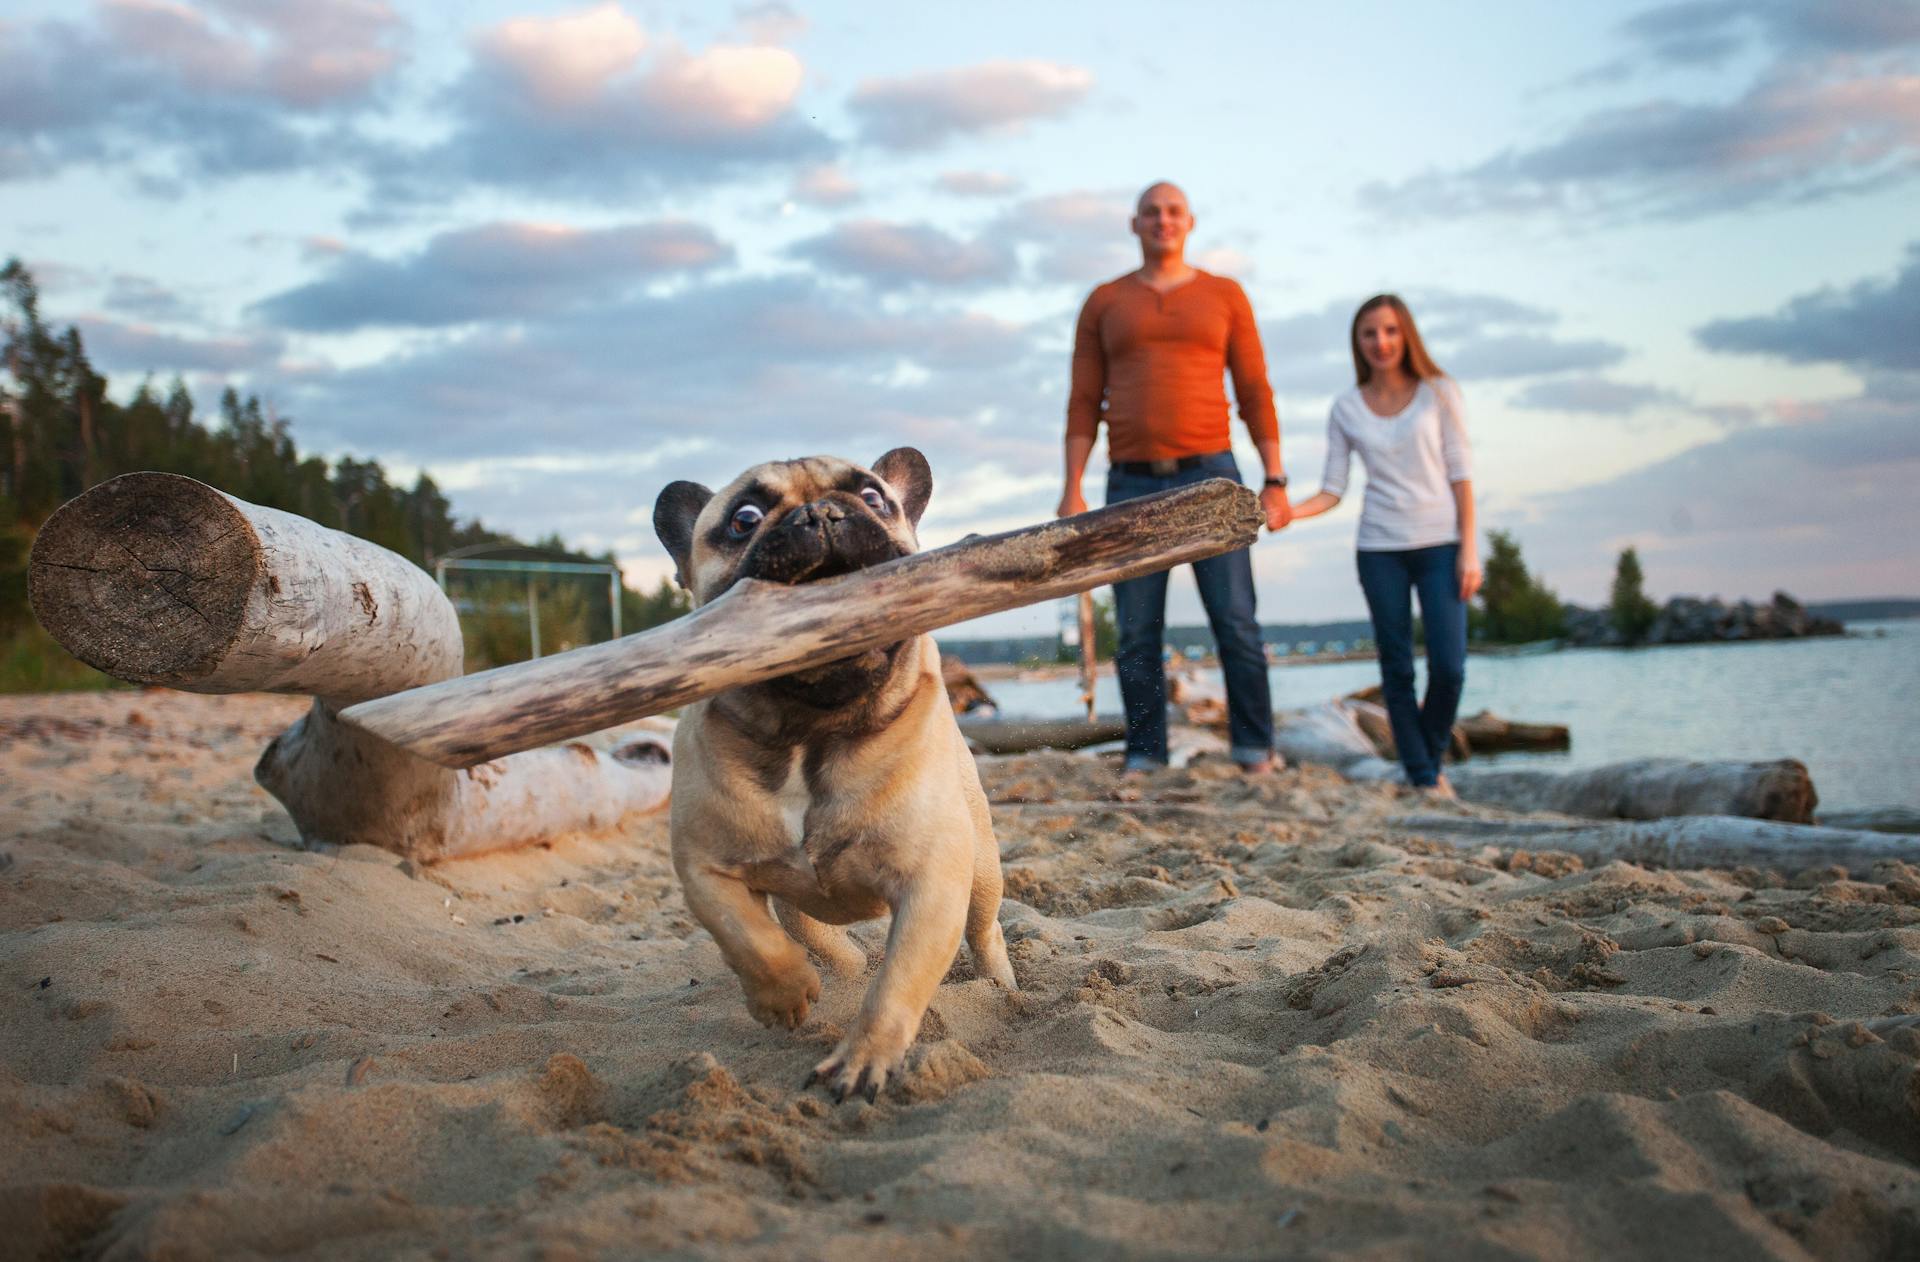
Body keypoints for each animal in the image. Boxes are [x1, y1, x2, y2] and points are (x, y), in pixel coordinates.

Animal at [652, 447, 1021, 1098]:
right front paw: (784, 995)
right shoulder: (704, 868)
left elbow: (898, 982)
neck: (812, 731)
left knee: (983, 929)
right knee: (814, 933)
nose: (820, 513)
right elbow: (746, 937)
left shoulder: (932, 886)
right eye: (744, 519)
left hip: (980, 870)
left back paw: (1002, 987)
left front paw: (864, 1058)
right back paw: (840, 964)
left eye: (874, 498)